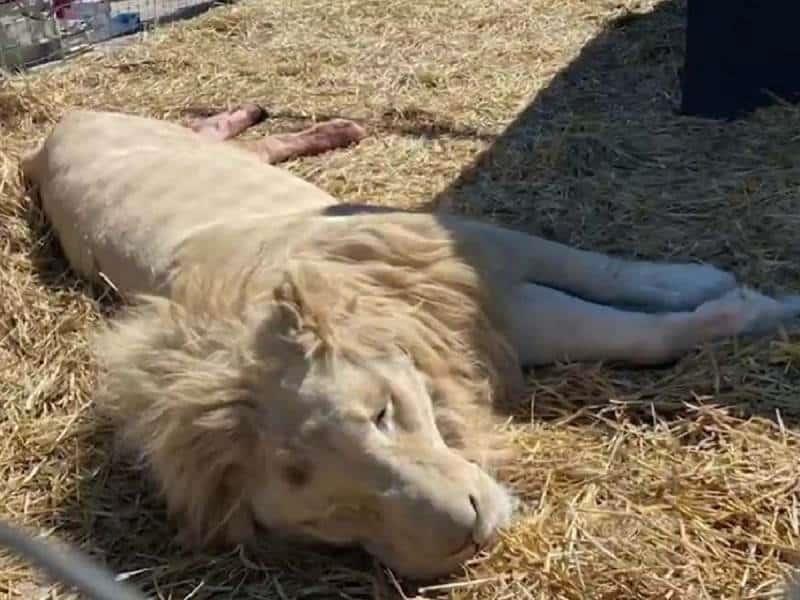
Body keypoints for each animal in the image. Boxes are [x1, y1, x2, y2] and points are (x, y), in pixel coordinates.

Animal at [20, 106, 800, 576]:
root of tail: (51, 131)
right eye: (334, 517)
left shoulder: (466, 253)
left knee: (219, 131)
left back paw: (313, 128)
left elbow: (630, 281)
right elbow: (638, 331)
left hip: (175, 137)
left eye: (381, 413)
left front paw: (750, 295)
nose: (469, 531)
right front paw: (747, 305)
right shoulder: (486, 308)